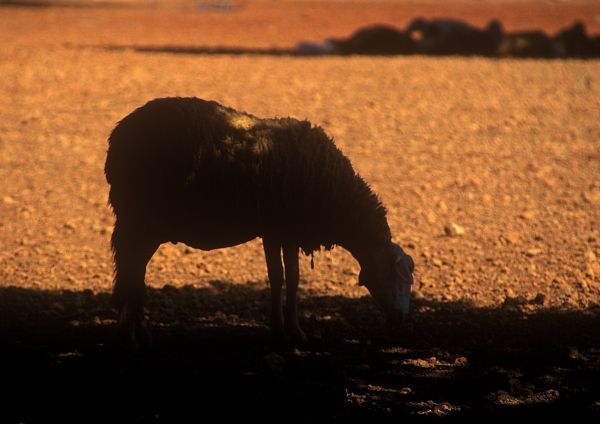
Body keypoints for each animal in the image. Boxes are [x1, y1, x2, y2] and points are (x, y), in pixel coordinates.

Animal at [105, 97, 414, 346]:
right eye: (396, 277)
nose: (402, 319)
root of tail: (117, 137)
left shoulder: (275, 230)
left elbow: (278, 277)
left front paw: (279, 329)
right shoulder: (287, 229)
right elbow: (292, 278)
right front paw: (294, 331)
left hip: (143, 223)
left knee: (135, 272)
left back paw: (140, 332)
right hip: (142, 219)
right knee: (131, 272)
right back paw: (128, 334)